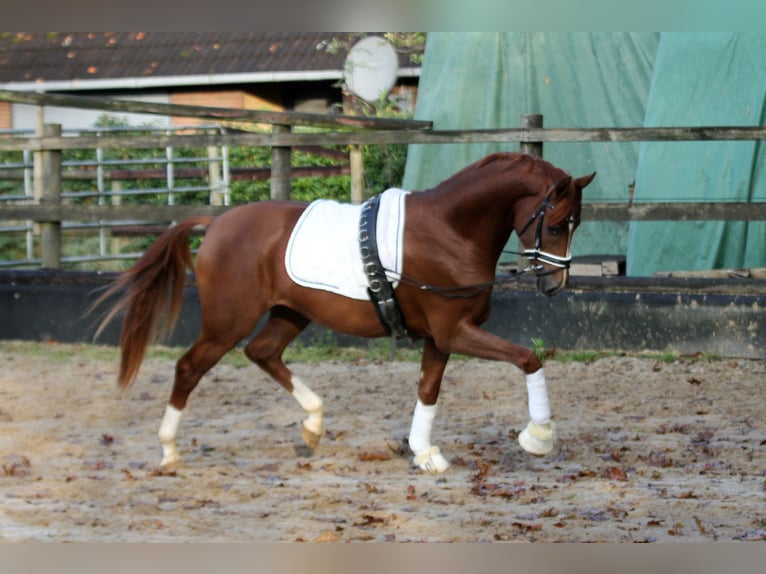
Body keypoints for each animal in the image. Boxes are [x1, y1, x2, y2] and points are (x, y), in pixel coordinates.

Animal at [96, 152, 596, 472]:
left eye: (576, 225)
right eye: (555, 225)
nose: (555, 285)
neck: (450, 230)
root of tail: (216, 223)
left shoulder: (441, 337)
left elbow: (428, 390)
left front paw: (423, 452)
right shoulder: (455, 331)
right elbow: (528, 358)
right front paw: (538, 438)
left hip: (290, 313)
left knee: (263, 353)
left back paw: (313, 425)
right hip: (227, 322)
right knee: (189, 367)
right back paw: (169, 451)